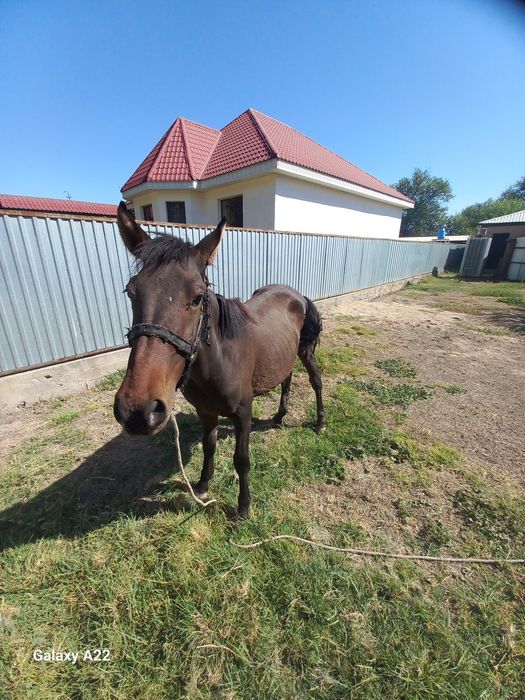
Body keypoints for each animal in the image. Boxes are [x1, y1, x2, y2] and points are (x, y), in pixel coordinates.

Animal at [113, 202, 325, 518]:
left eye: (198, 298)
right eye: (131, 291)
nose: (138, 411)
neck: (219, 361)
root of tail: (294, 293)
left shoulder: (243, 415)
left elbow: (242, 460)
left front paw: (243, 507)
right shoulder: (206, 411)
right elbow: (209, 446)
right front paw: (202, 484)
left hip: (305, 351)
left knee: (315, 380)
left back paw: (320, 421)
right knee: (286, 378)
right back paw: (279, 416)